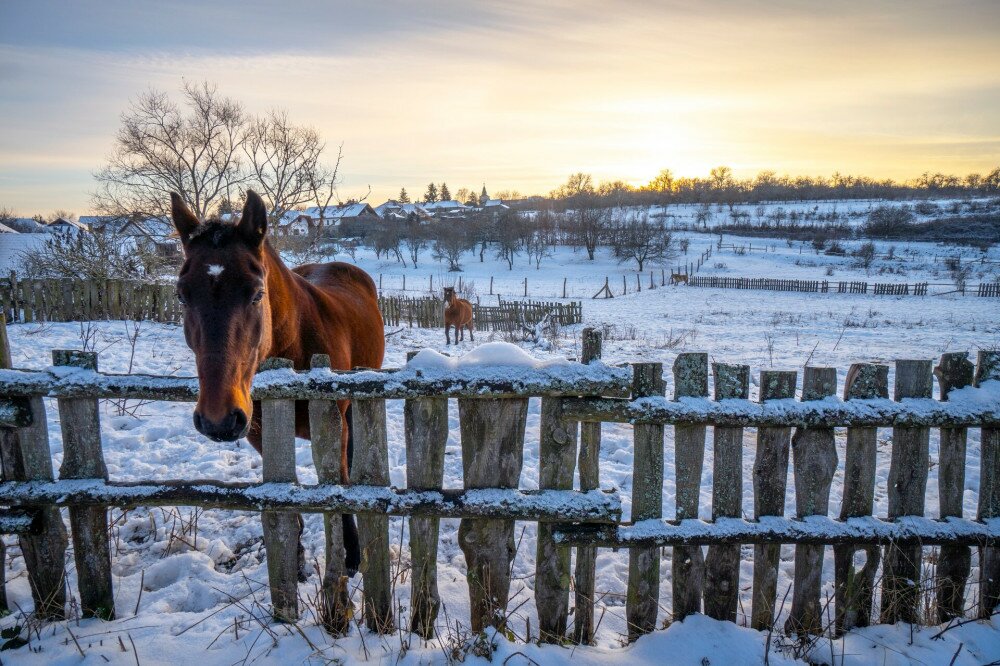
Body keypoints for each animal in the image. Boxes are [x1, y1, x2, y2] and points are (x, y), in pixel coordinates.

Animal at [172, 188, 382, 572]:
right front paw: (294, 558)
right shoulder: (259, 433)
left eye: (257, 293)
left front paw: (351, 556)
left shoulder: (335, 427)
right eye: (182, 294)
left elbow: (339, 488)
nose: (217, 418)